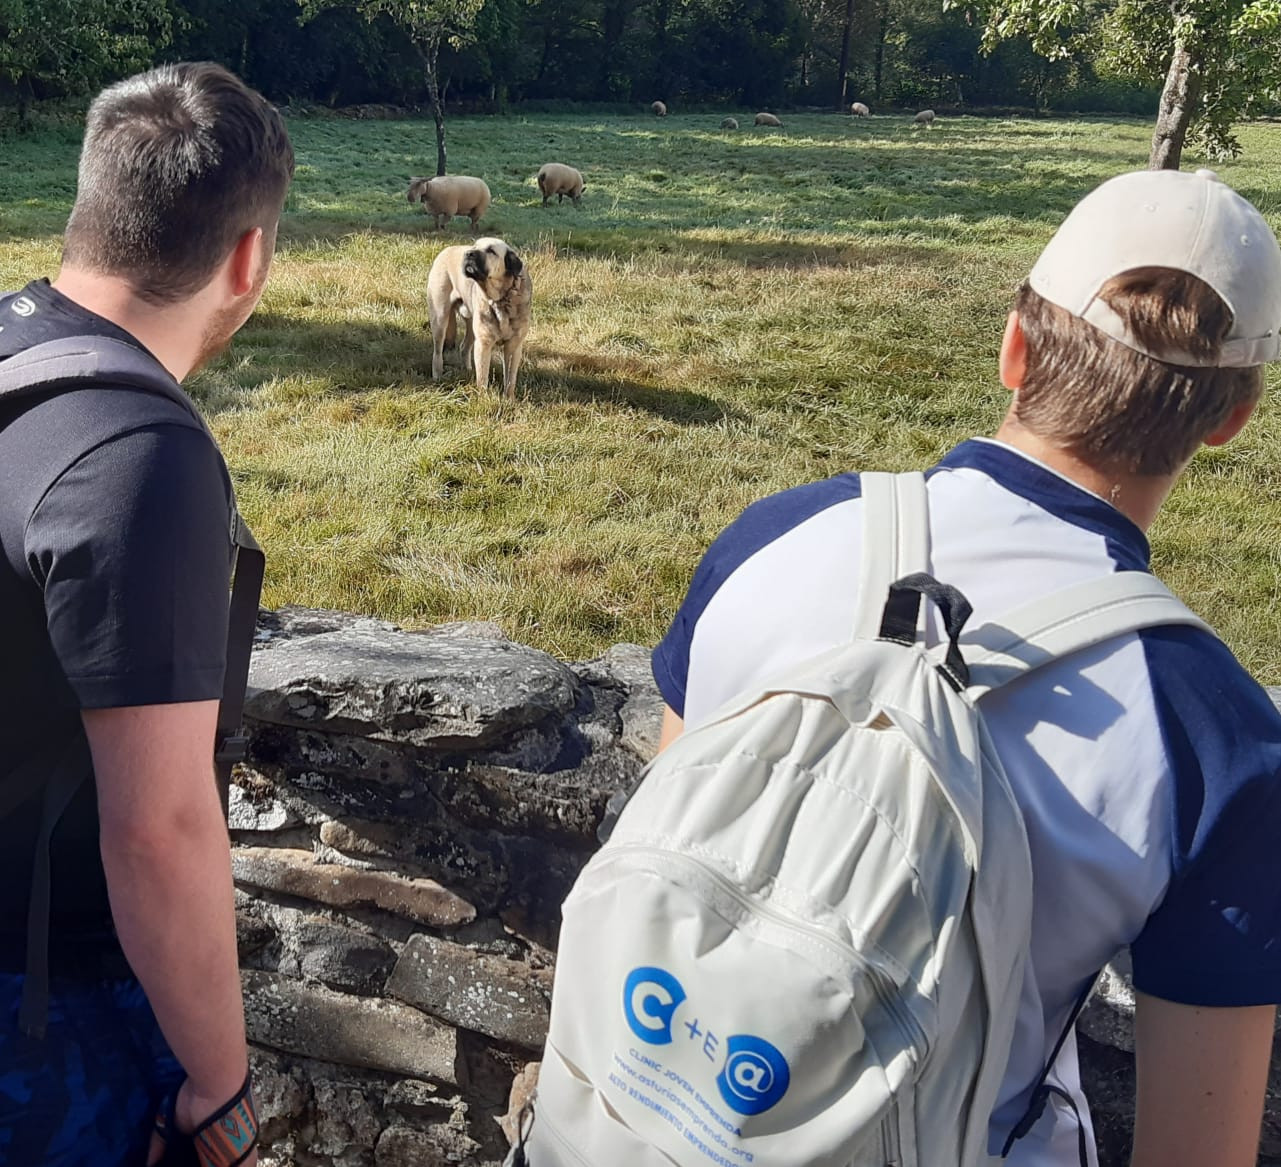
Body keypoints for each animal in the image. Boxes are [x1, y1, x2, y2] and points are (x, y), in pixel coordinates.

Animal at [427, 236, 532, 402]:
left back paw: (468, 370)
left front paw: (509, 400)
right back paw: (438, 376)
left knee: (464, 347)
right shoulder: (484, 343)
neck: (502, 297)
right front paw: (483, 399)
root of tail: (446, 249)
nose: (468, 253)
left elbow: (510, 378)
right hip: (440, 318)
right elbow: (483, 377)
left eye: (491, 250)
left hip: (471, 326)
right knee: (437, 351)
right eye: (474, 246)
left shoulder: (514, 345)